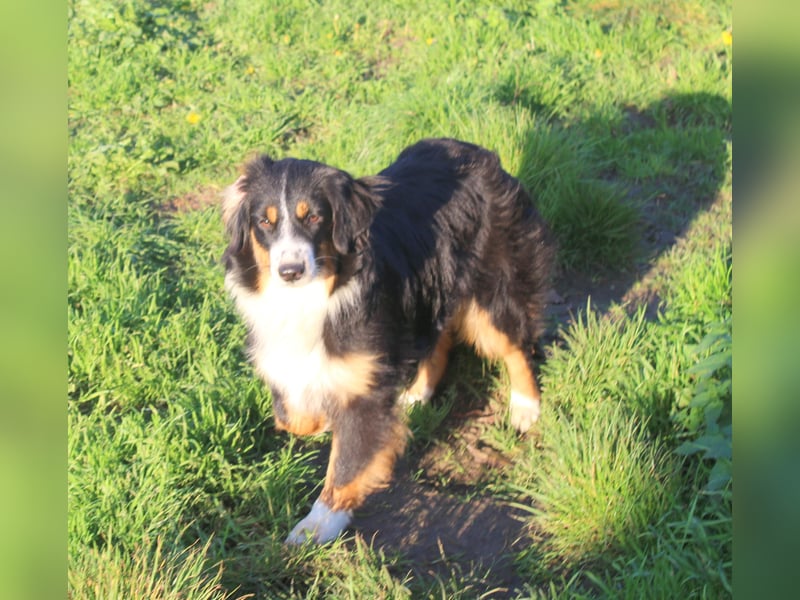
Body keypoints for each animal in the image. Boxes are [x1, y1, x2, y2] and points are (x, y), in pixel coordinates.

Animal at [222, 138, 552, 548]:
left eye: (314, 217)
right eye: (264, 222)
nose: (290, 272)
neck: (317, 294)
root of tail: (479, 152)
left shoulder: (362, 384)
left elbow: (346, 462)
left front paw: (319, 524)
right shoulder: (286, 356)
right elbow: (294, 416)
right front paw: (322, 421)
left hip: (493, 287)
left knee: (513, 344)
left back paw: (525, 407)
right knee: (438, 339)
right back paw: (415, 395)